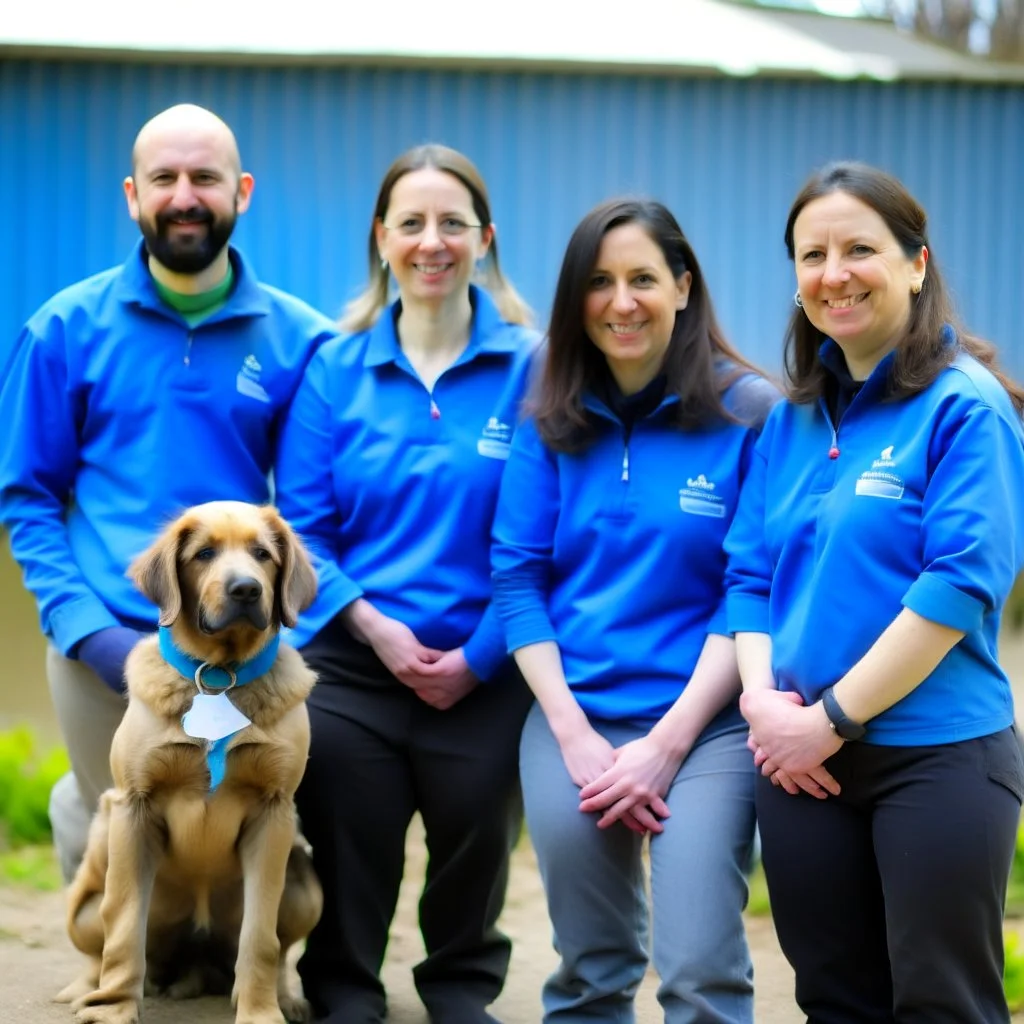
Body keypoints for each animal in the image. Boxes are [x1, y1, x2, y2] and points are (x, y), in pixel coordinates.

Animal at [57, 503, 319, 1024]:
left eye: (263, 554)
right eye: (204, 554)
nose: (246, 589)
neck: (220, 675)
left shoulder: (274, 813)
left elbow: (261, 938)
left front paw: (261, 1011)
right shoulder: (134, 807)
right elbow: (123, 929)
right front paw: (114, 1008)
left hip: (305, 882)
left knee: (279, 950)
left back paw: (286, 996)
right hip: (83, 904)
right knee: (98, 948)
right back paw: (87, 991)